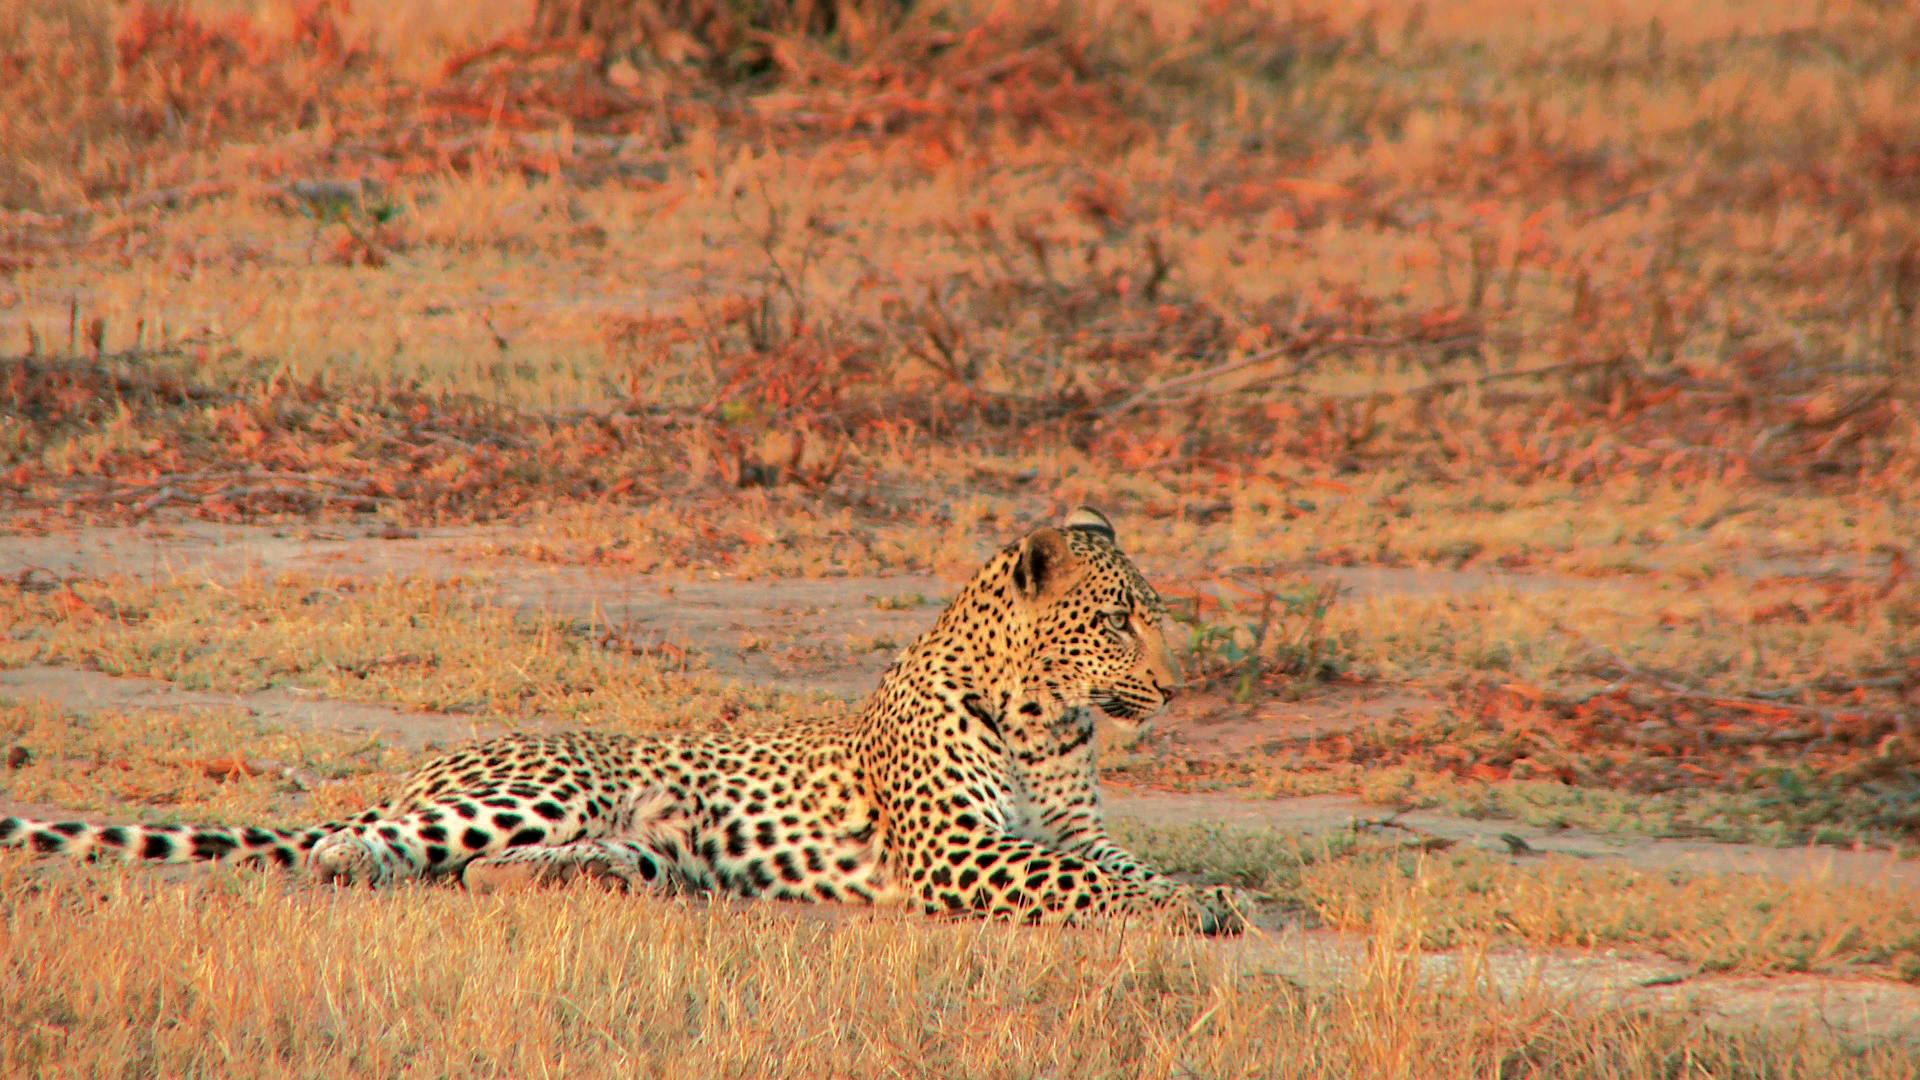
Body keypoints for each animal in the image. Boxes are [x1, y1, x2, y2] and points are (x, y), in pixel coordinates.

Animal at [0, 507, 1245, 934]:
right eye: (1121, 622)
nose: (1176, 689)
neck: (1047, 721)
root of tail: (438, 763)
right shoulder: (962, 854)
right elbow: (1089, 884)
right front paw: (1198, 908)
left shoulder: (1074, 831)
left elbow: (1120, 865)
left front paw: (1210, 895)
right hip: (535, 788)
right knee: (356, 845)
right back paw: (362, 866)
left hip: (633, 836)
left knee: (493, 872)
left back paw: (590, 884)